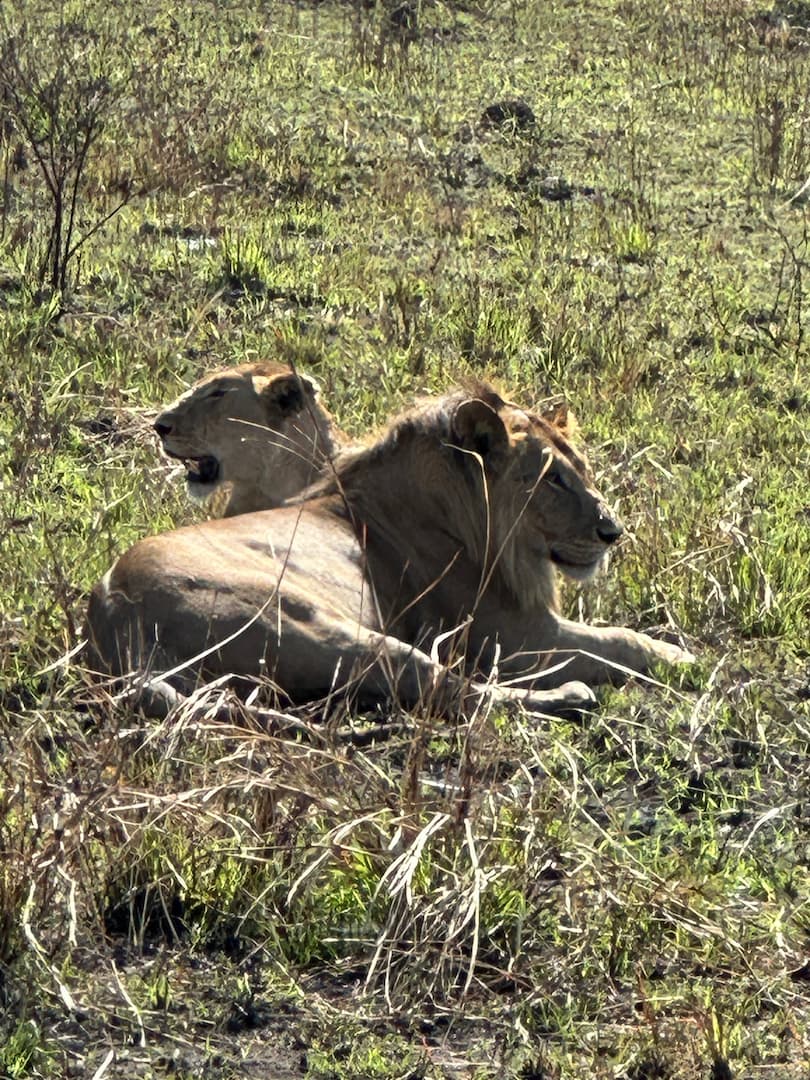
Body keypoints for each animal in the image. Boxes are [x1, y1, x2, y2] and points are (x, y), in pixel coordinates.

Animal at [87, 382, 692, 718]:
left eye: (582, 471)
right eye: (552, 480)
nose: (612, 531)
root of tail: (116, 619)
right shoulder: (512, 637)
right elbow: (620, 640)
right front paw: (680, 659)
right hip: (327, 629)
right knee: (458, 694)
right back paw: (569, 696)